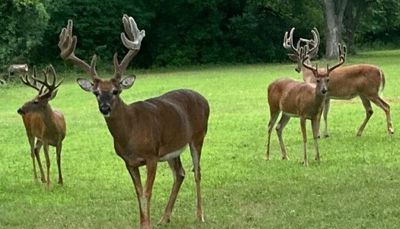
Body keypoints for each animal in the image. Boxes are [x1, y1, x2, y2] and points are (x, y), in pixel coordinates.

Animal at [58, 15, 211, 228]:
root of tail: (203, 98)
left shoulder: (151, 156)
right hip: (172, 148)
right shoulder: (128, 162)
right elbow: (138, 193)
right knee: (180, 174)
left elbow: (147, 192)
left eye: (116, 91)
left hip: (198, 135)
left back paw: (200, 215)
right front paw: (144, 222)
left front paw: (147, 224)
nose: (104, 108)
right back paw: (164, 217)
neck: (130, 133)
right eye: (96, 93)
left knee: (197, 172)